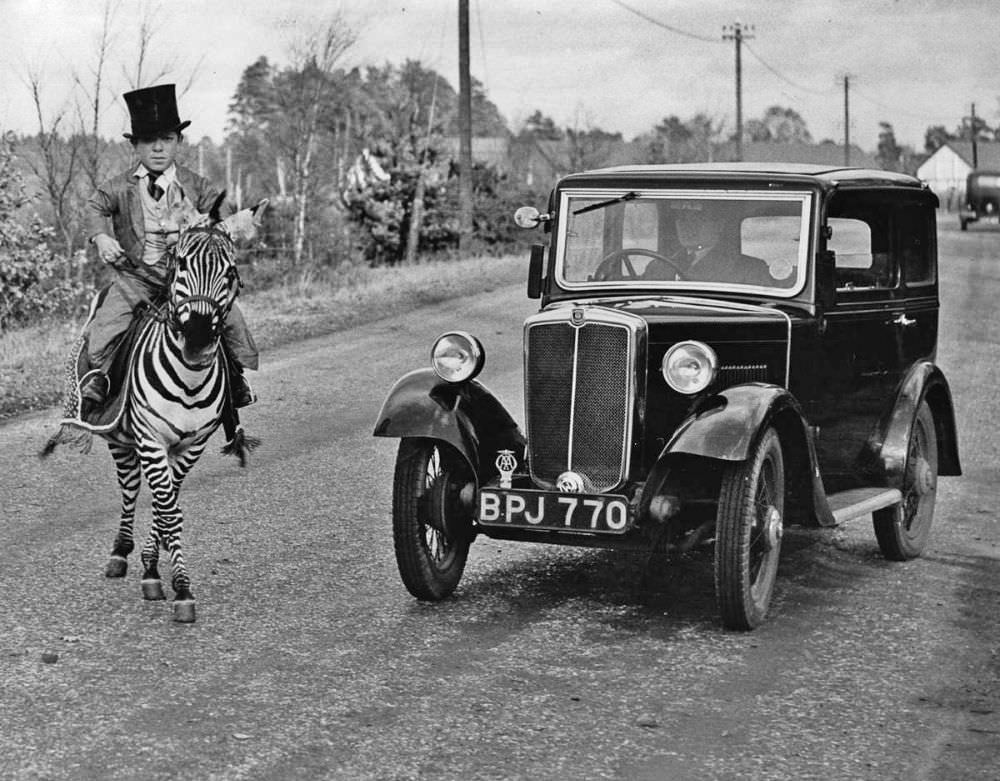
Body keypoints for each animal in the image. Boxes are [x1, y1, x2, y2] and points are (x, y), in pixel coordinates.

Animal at [41, 195, 268, 620]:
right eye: (181, 264)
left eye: (231, 271)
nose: (197, 337)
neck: (189, 377)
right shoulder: (149, 438)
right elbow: (165, 506)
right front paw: (178, 587)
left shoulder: (192, 445)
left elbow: (168, 505)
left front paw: (156, 568)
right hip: (120, 437)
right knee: (130, 487)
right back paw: (119, 553)